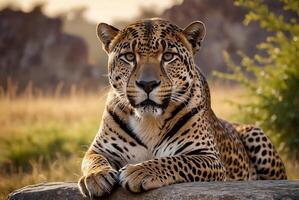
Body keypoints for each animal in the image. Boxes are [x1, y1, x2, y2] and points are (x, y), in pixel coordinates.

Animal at [78, 18, 288, 198]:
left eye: (168, 56)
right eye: (129, 57)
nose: (147, 84)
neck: (149, 121)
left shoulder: (208, 157)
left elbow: (175, 161)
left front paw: (139, 171)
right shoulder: (100, 149)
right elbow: (92, 160)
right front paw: (95, 177)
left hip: (255, 134)